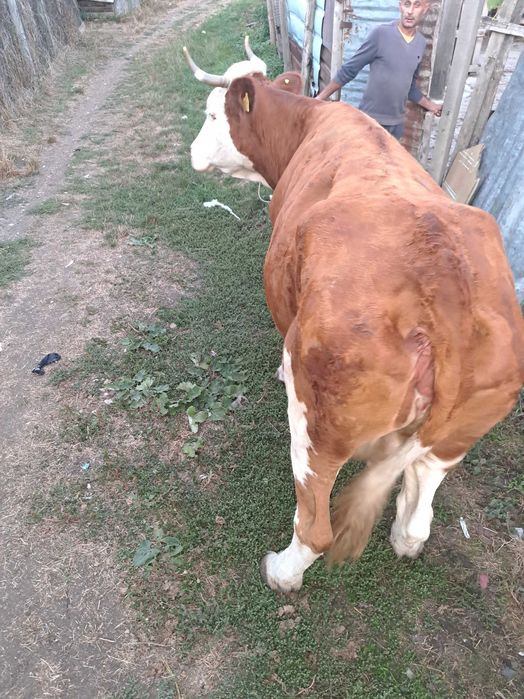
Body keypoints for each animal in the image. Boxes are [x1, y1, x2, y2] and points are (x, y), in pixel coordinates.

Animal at [183, 39, 524, 592]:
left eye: (213, 114)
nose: (193, 152)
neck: (308, 126)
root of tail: (444, 277)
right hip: (460, 430)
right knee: (422, 496)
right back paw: (406, 534)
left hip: (317, 424)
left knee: (316, 522)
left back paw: (282, 570)